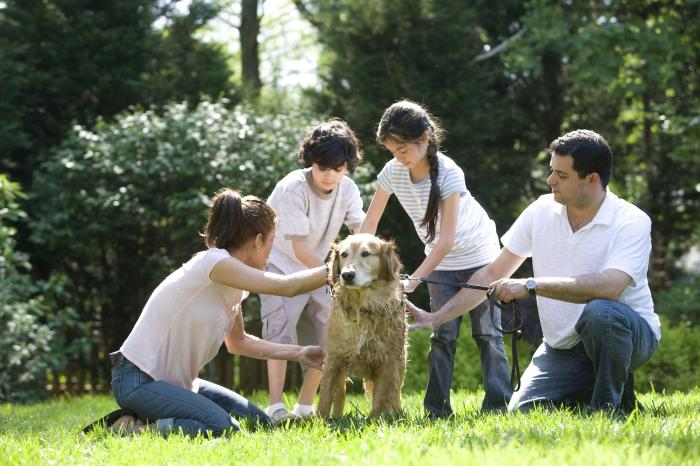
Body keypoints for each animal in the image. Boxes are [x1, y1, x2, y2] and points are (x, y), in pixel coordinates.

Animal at [318, 235, 404, 416]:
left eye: (365, 253)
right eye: (344, 254)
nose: (347, 275)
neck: (363, 307)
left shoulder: (389, 361)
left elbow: (381, 399)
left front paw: (376, 419)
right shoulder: (335, 356)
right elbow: (326, 395)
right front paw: (320, 419)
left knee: (395, 394)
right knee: (340, 394)